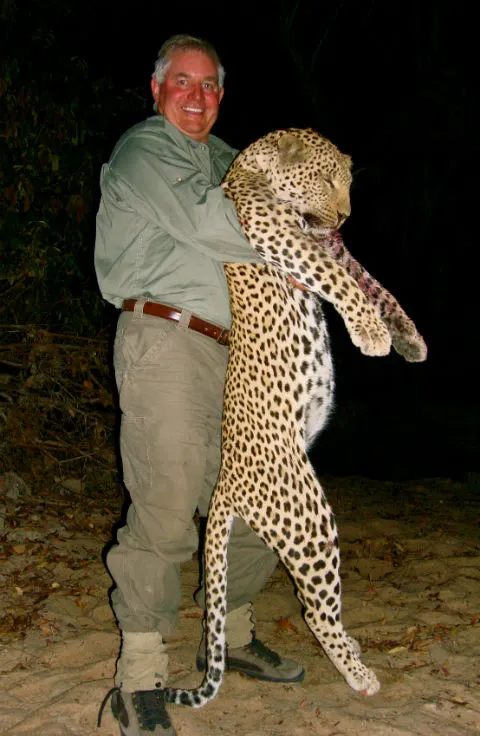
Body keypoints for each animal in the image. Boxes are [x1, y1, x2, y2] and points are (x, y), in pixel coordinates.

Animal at [165, 128, 427, 708]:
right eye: (327, 179)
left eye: (348, 182)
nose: (345, 216)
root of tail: (226, 482)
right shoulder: (281, 238)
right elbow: (340, 281)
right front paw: (372, 335)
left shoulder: (334, 248)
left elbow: (374, 285)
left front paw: (408, 339)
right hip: (308, 517)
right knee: (316, 610)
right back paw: (359, 673)